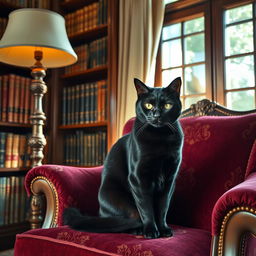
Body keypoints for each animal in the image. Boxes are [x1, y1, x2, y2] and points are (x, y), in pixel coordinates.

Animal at [64, 77, 184, 239]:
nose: (156, 115)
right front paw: (151, 230)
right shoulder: (138, 178)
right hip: (116, 197)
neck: (160, 137)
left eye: (167, 105)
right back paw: (137, 229)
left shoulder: (170, 179)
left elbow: (162, 207)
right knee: (128, 218)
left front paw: (164, 229)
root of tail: (100, 213)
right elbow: (146, 208)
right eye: (148, 105)